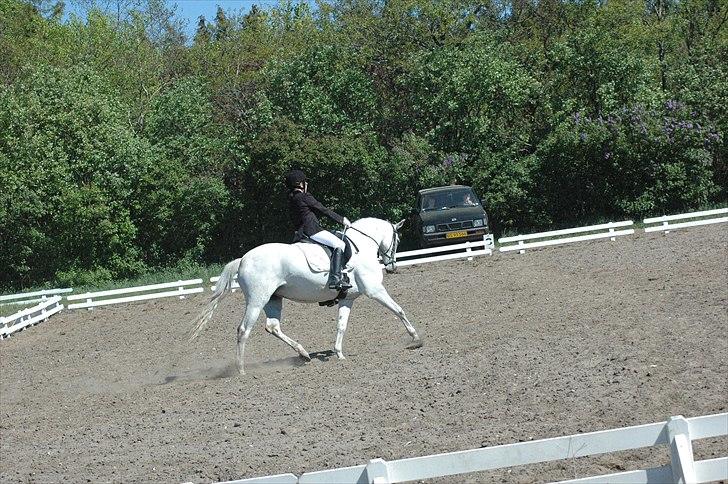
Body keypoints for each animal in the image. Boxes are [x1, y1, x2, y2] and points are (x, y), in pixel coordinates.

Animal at [187, 217, 423, 374]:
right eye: (397, 239)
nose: (392, 267)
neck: (361, 248)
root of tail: (243, 259)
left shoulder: (347, 298)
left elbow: (342, 325)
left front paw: (339, 353)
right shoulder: (375, 291)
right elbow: (399, 310)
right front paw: (416, 339)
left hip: (273, 300)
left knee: (272, 327)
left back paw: (303, 354)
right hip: (256, 300)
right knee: (244, 330)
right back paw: (242, 370)